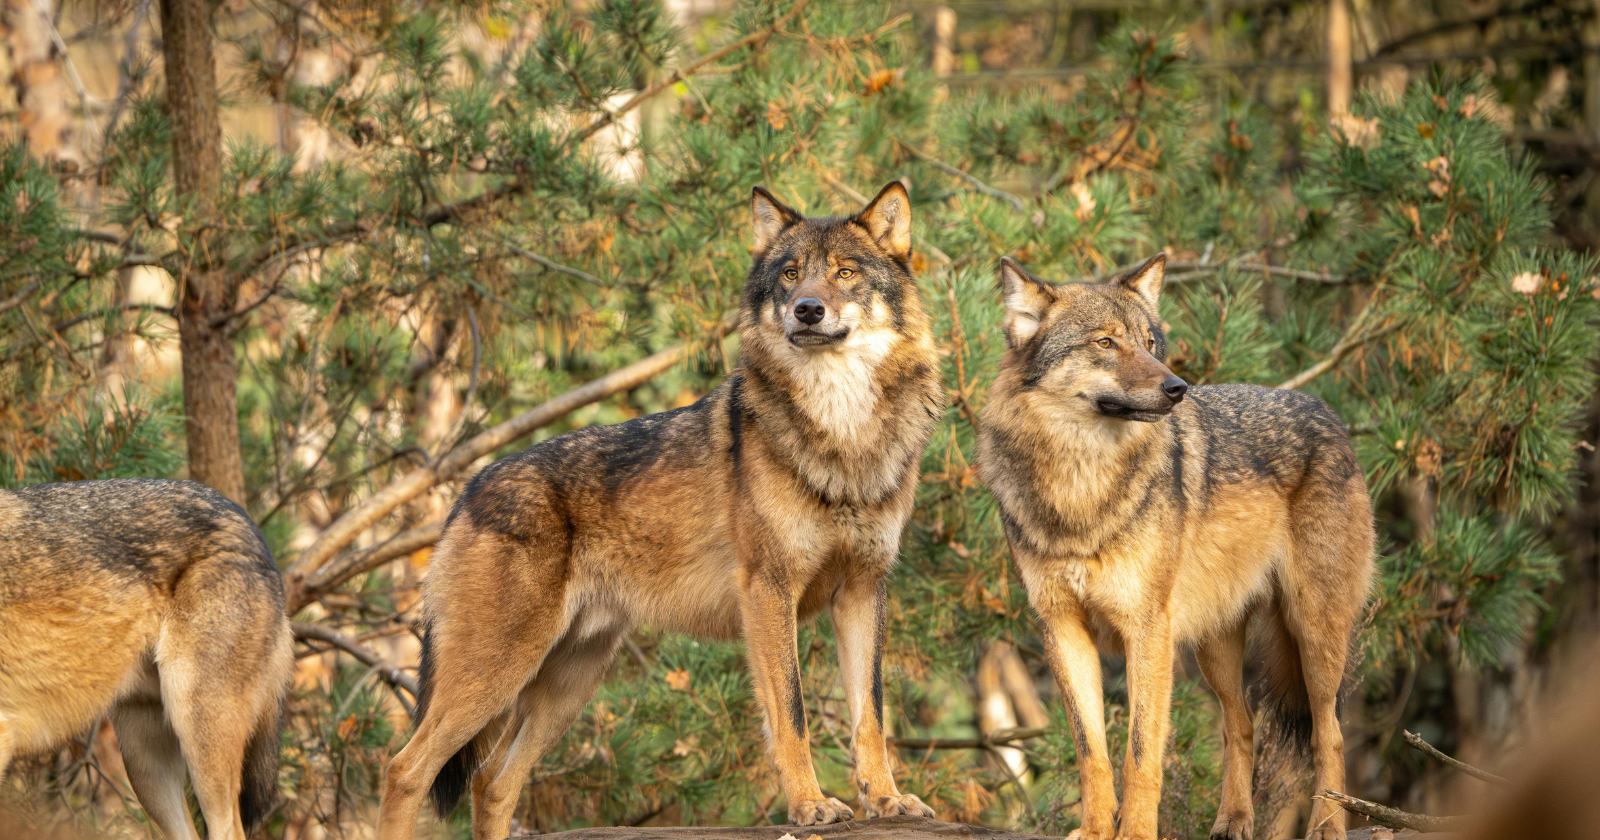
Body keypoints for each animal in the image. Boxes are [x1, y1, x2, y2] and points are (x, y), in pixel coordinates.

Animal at [376, 182, 945, 840]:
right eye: (790, 274)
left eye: (845, 273)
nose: (806, 309)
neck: (844, 434)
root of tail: (467, 490)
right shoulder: (769, 592)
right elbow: (793, 715)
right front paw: (809, 807)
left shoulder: (862, 590)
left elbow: (869, 715)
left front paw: (888, 800)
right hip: (497, 675)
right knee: (405, 769)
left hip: (566, 686)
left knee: (493, 784)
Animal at [977, 255, 1375, 840]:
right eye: (1105, 342)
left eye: (1149, 342)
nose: (1177, 387)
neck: (1080, 486)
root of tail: (1328, 412)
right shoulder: (1062, 629)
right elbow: (1091, 750)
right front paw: (1095, 830)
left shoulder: (1147, 629)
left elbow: (1141, 752)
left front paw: (1136, 832)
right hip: (1215, 648)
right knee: (1241, 724)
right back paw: (1233, 821)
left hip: (1314, 633)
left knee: (1331, 731)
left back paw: (1327, 825)